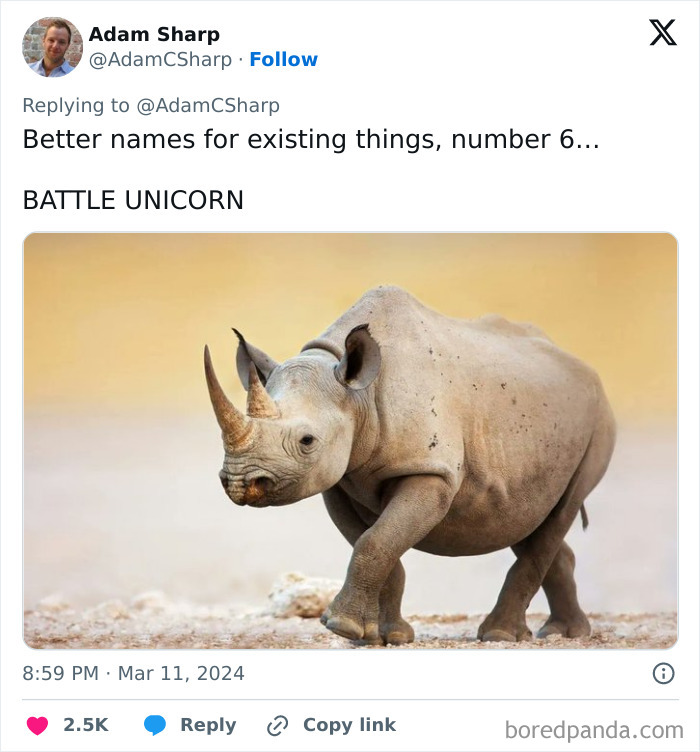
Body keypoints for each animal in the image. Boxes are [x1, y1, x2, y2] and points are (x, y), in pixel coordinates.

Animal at [204, 286, 615, 644]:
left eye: (307, 441)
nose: (240, 483)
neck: (358, 395)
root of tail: (584, 368)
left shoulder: (431, 471)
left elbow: (376, 541)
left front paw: (340, 627)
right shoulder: (340, 480)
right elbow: (376, 543)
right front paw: (381, 637)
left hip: (597, 421)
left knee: (561, 511)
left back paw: (501, 635)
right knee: (527, 518)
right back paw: (563, 632)